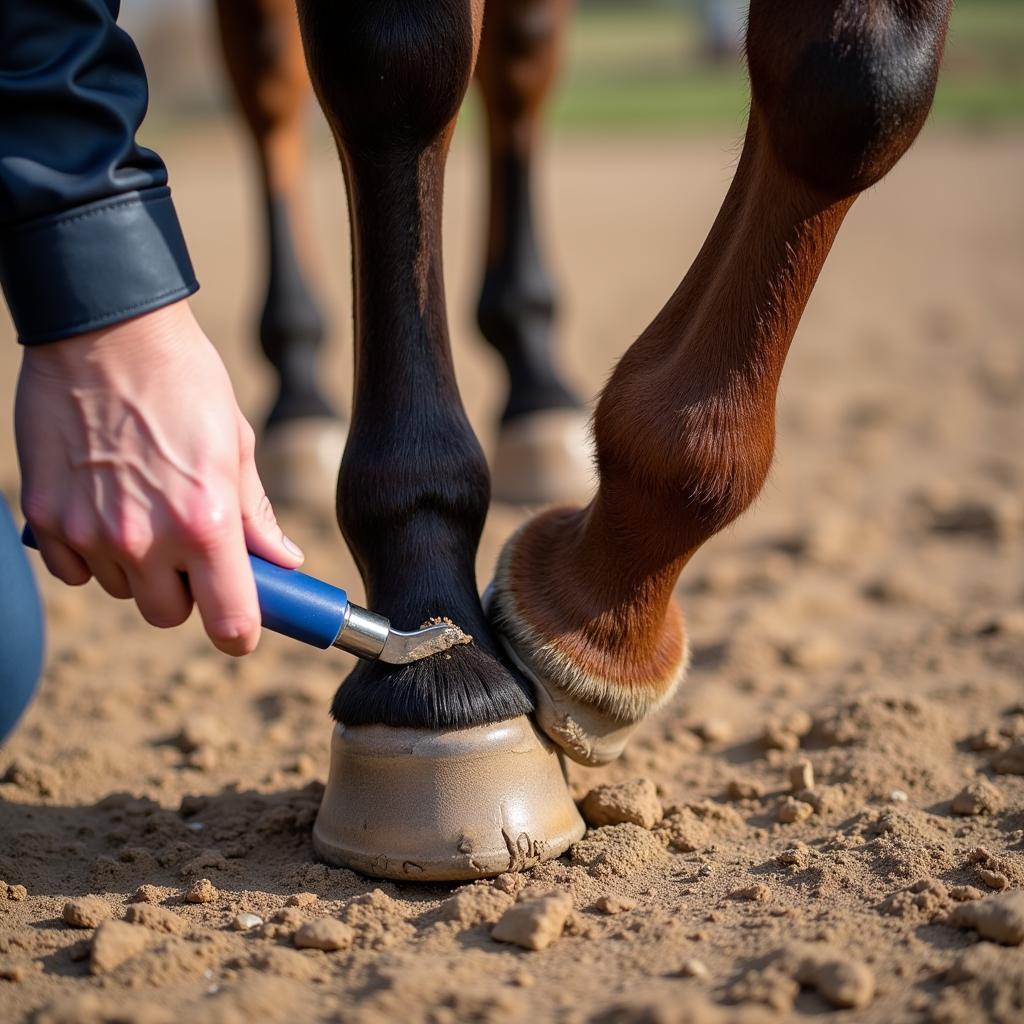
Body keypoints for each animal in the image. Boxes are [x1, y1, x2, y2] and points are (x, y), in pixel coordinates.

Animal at [214, 0, 950, 880]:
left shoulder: (856, 73)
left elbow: (858, 91)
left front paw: (600, 633)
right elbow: (397, 68)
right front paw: (444, 667)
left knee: (518, 67)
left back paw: (534, 388)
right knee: (268, 82)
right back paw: (298, 404)